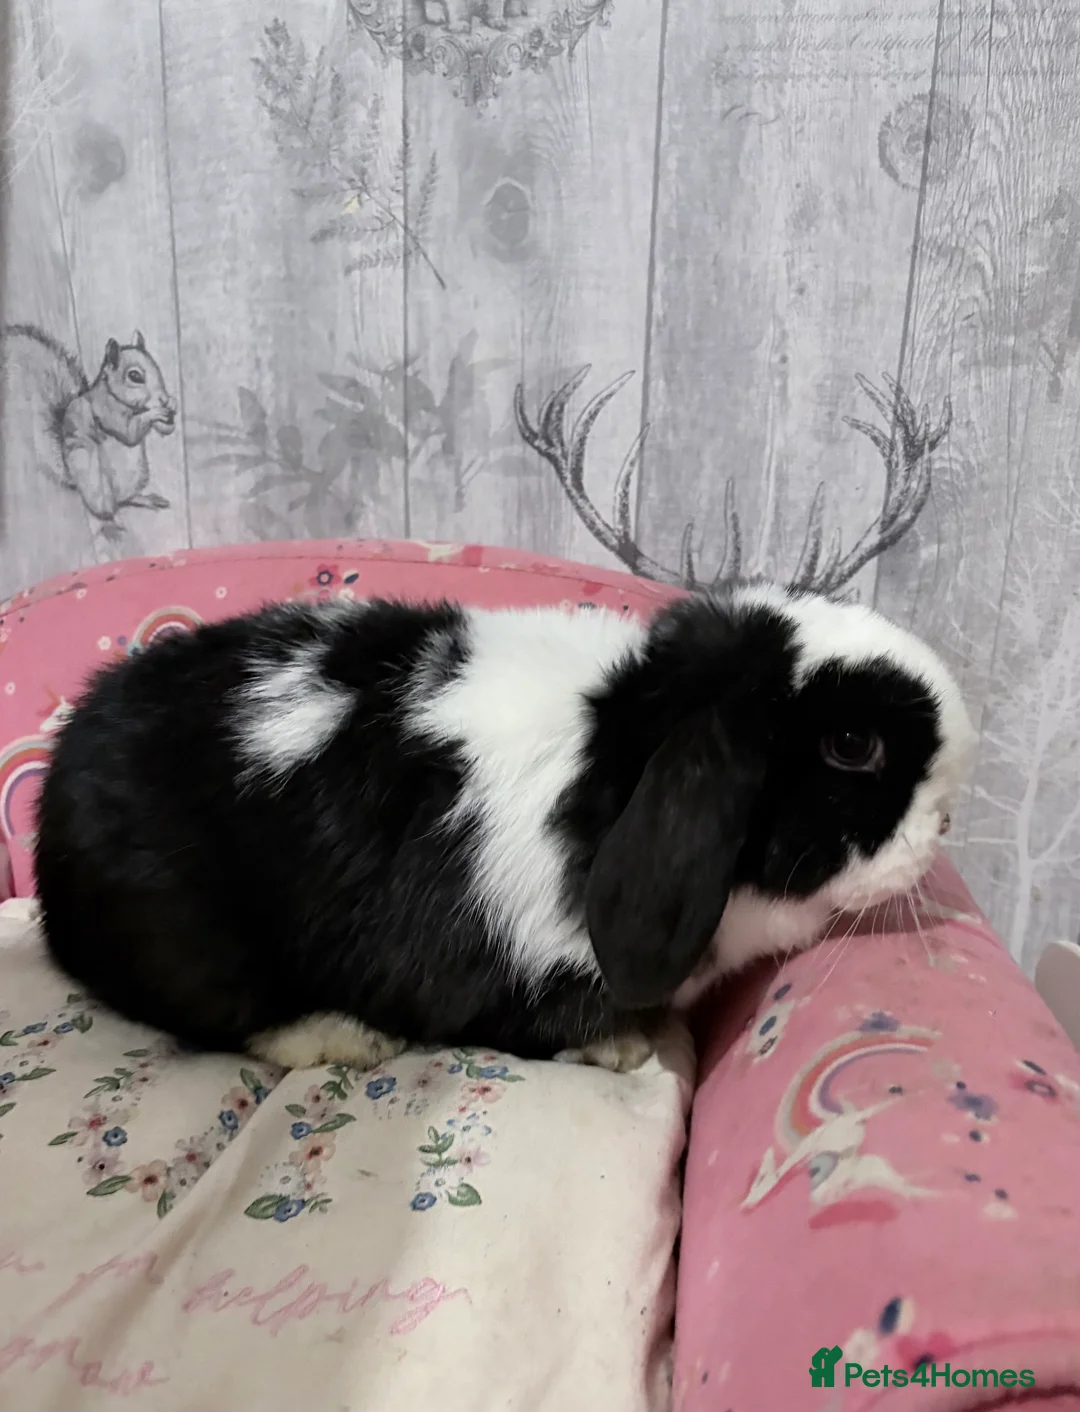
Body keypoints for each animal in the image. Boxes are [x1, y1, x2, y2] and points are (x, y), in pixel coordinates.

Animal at [34, 582, 975, 1075]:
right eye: (852, 745)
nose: (947, 820)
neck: (623, 750)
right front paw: (626, 1049)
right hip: (189, 943)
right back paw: (340, 1037)